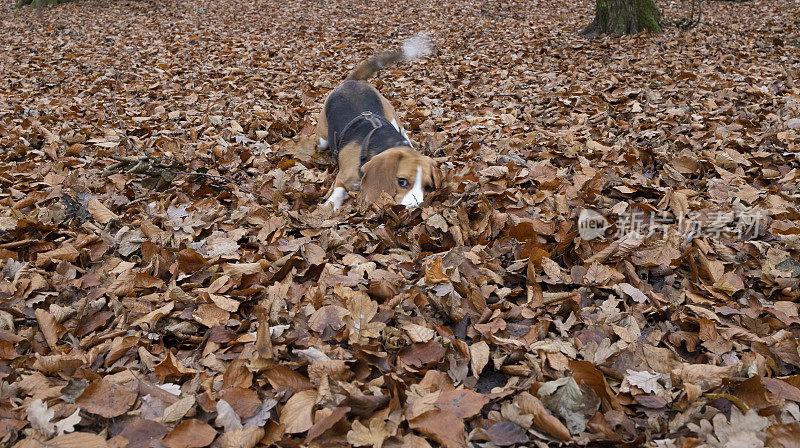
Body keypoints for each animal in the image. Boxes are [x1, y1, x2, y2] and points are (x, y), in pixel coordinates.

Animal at [318, 34, 440, 211]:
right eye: (402, 181)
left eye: (428, 187)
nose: (414, 208)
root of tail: (352, 81)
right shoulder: (342, 177)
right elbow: (338, 191)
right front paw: (330, 205)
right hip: (321, 141)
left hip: (393, 118)